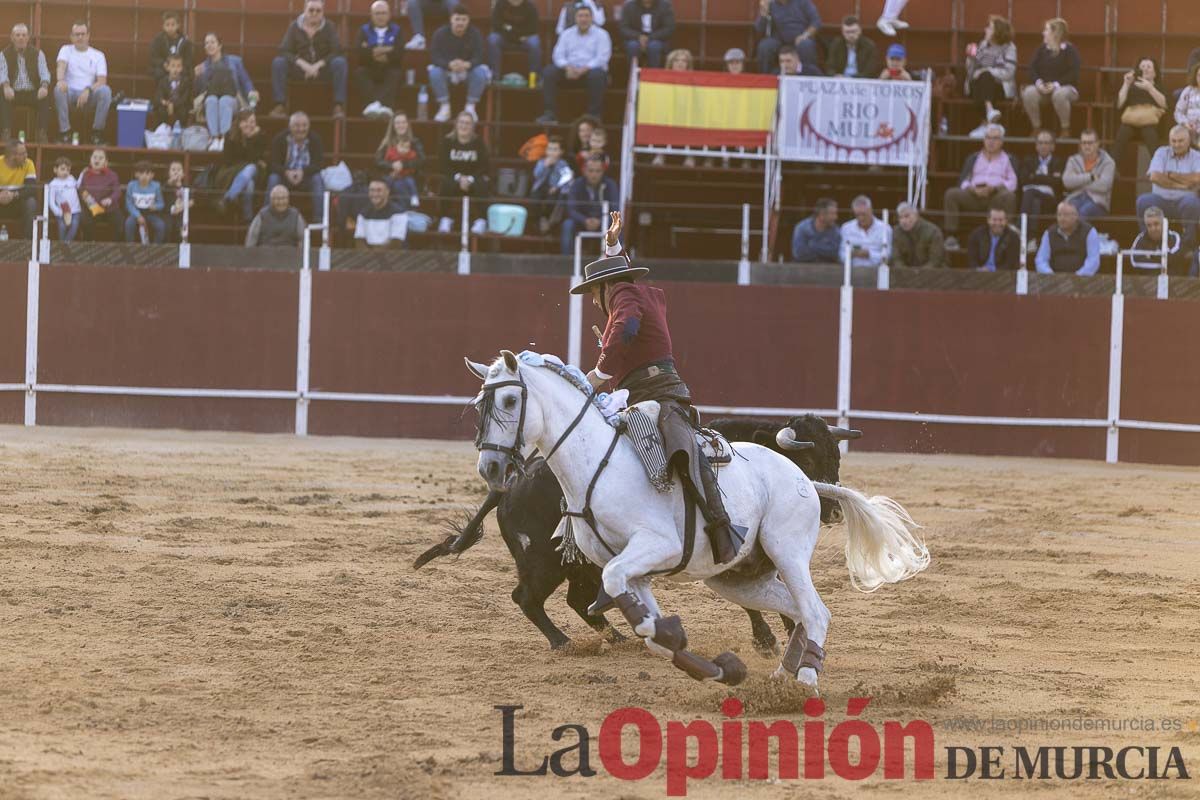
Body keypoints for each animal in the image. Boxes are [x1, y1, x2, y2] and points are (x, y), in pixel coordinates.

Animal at [415, 417, 864, 652]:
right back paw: (565, 642)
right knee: (526, 597)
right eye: (808, 459)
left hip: (578, 568)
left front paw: (787, 631)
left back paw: (616, 636)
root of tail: (509, 485)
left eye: (836, 457)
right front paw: (769, 637)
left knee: (577, 601)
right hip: (543, 561)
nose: (833, 511)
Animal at [465, 350, 926, 695]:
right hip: (732, 576)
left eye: (509, 401)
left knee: (814, 611)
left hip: (786, 553)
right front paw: (721, 668)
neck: (597, 461)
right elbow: (651, 629)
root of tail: (803, 482)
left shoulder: (653, 549)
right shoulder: (634, 570)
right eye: (480, 405)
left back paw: (804, 680)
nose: (490, 466)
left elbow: (633, 605)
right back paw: (782, 672)